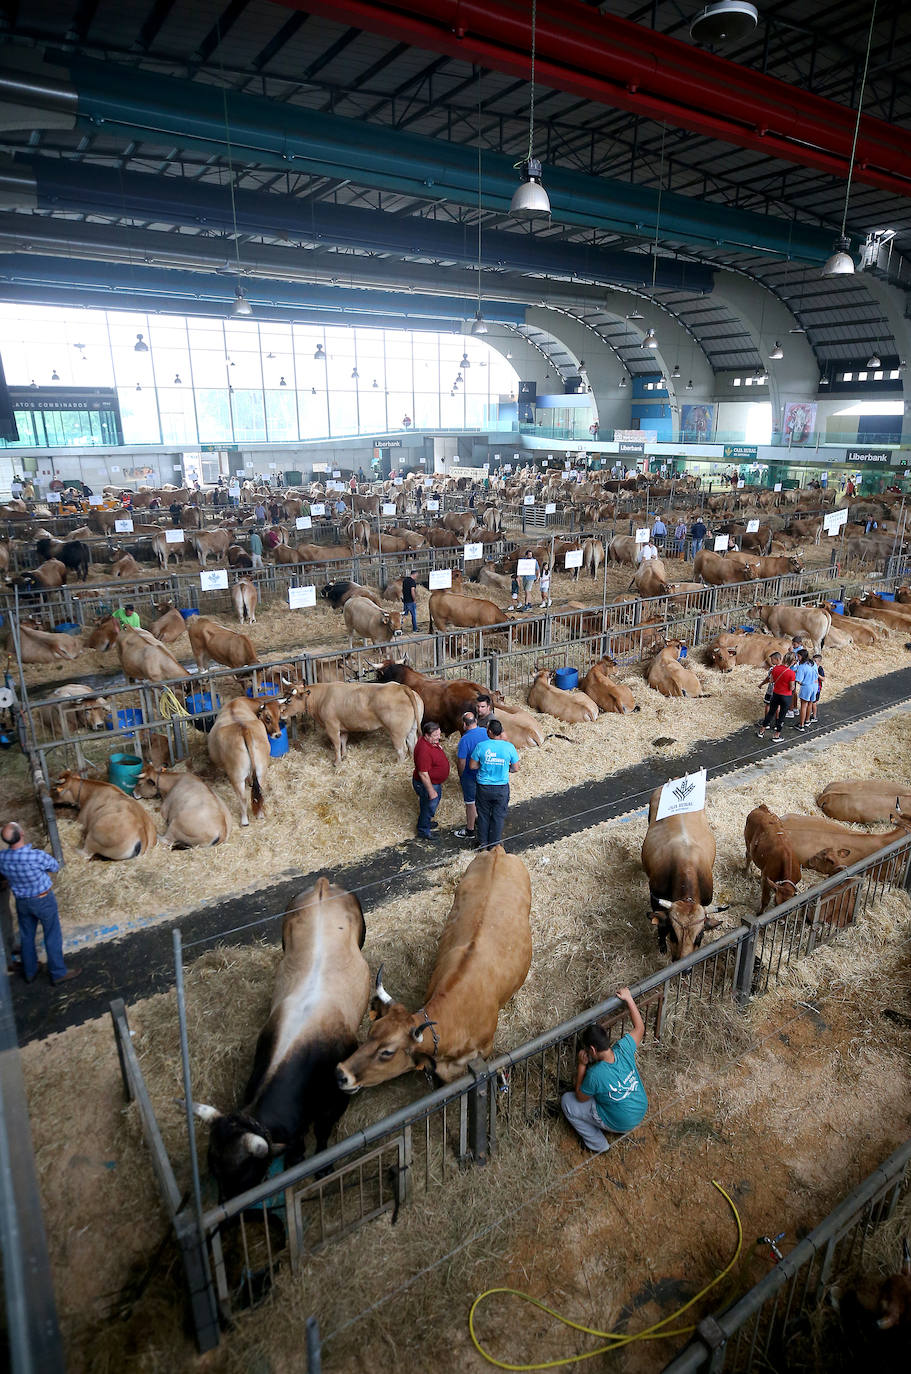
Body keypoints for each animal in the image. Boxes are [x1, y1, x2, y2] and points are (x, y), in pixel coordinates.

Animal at [188, 884, 370, 1198]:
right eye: (213, 1168)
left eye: (243, 1173)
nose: (227, 1203)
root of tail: (323, 884)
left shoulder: (336, 1100)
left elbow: (323, 1134)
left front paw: (323, 1165)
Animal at [281, 681, 423, 769]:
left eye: (288, 700)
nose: (281, 713)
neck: (322, 697)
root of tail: (400, 687)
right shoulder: (343, 727)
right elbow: (343, 741)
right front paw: (344, 756)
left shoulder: (332, 726)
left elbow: (336, 745)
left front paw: (337, 762)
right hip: (412, 729)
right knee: (412, 745)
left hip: (396, 732)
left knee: (402, 749)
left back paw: (398, 765)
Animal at [637, 785, 725, 956]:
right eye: (672, 932)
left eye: (700, 936)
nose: (683, 962)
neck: (687, 862)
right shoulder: (655, 899)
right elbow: (660, 925)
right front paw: (662, 946)